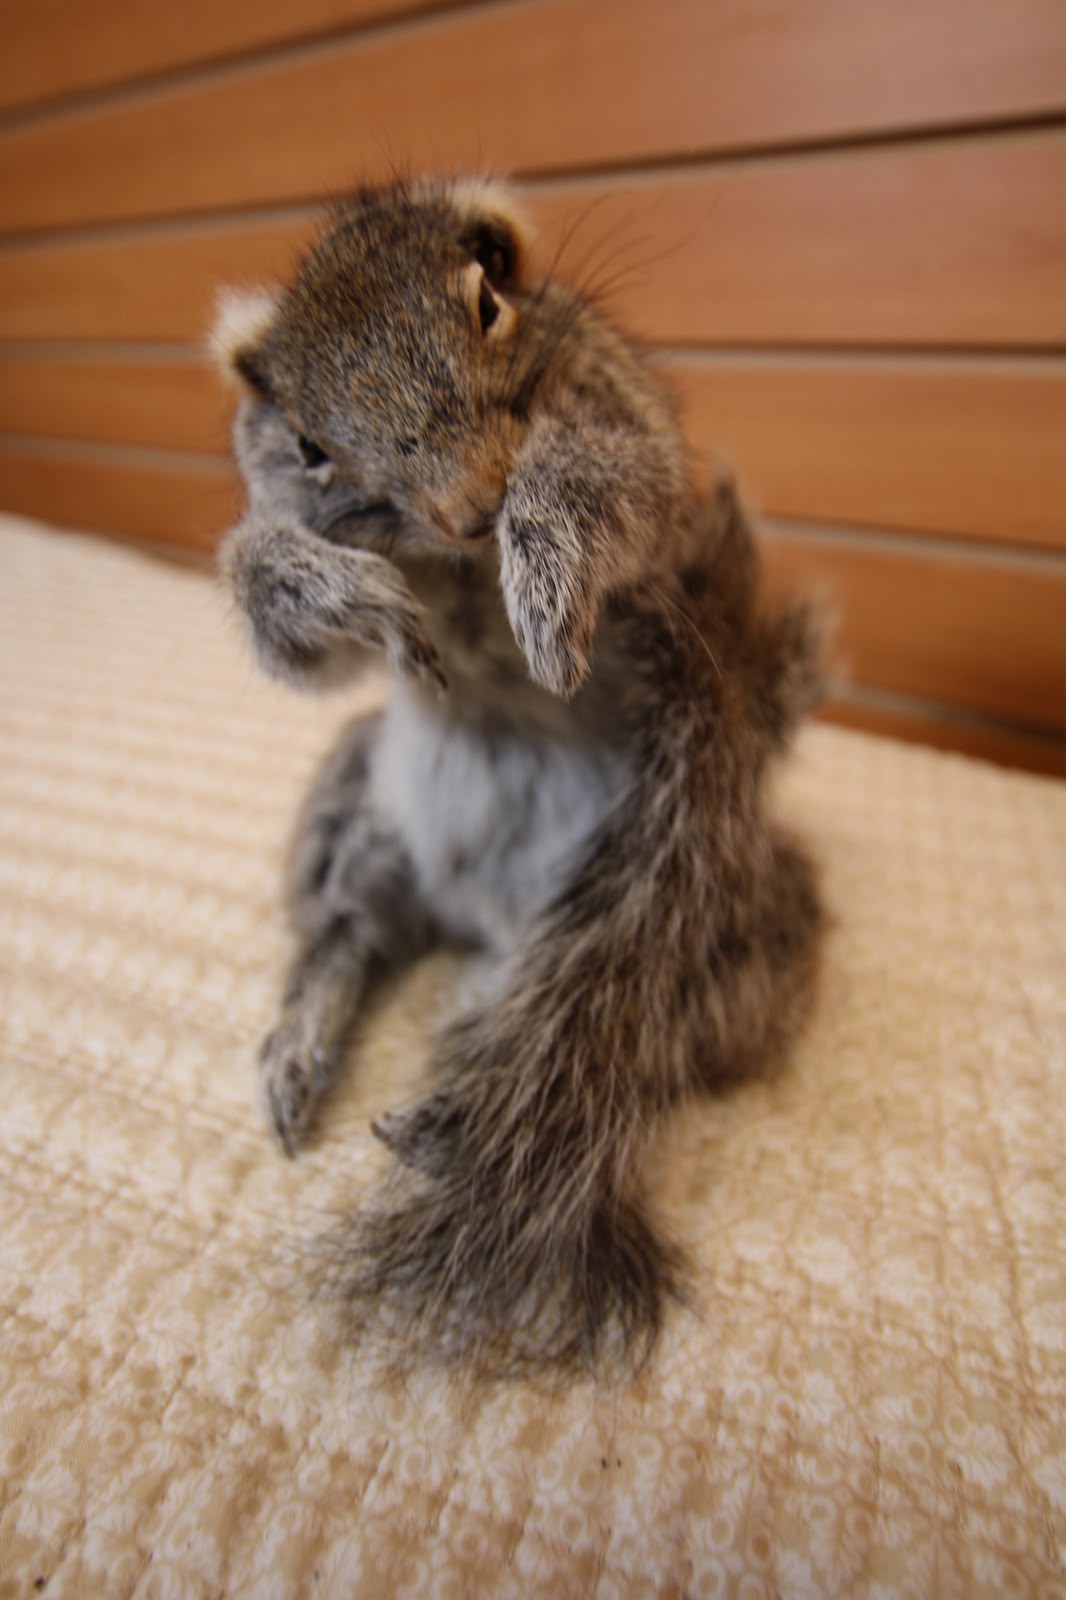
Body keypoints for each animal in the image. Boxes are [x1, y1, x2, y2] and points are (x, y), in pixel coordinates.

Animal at [213, 177, 825, 1373]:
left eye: (488, 302)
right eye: (307, 444)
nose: (470, 506)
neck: (454, 567)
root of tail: (480, 920)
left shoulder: (652, 483)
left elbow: (602, 480)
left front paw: (542, 582)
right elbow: (276, 606)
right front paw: (334, 584)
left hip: (731, 936)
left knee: (672, 1042)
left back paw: (464, 1081)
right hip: (353, 803)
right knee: (347, 932)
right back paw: (303, 1048)